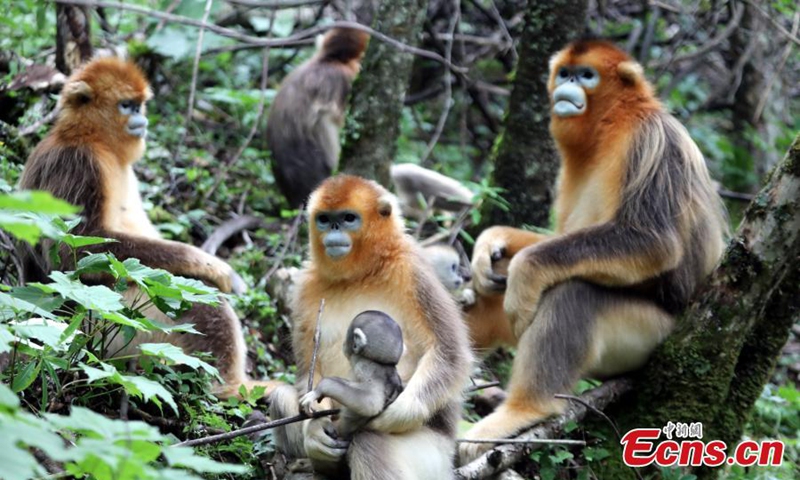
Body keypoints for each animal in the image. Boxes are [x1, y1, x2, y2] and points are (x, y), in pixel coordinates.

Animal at [18, 57, 280, 399]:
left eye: (139, 105)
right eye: (126, 105)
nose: (140, 118)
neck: (93, 140)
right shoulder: (76, 163)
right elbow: (70, 250)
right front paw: (212, 265)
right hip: (111, 325)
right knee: (197, 296)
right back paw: (233, 389)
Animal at [459, 40, 728, 463]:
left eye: (586, 75)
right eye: (565, 73)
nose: (568, 85)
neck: (611, 124)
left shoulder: (651, 141)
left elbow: (652, 240)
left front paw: (524, 268)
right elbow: (559, 237)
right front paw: (491, 243)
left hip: (650, 338)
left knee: (574, 294)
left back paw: (520, 412)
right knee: (488, 295)